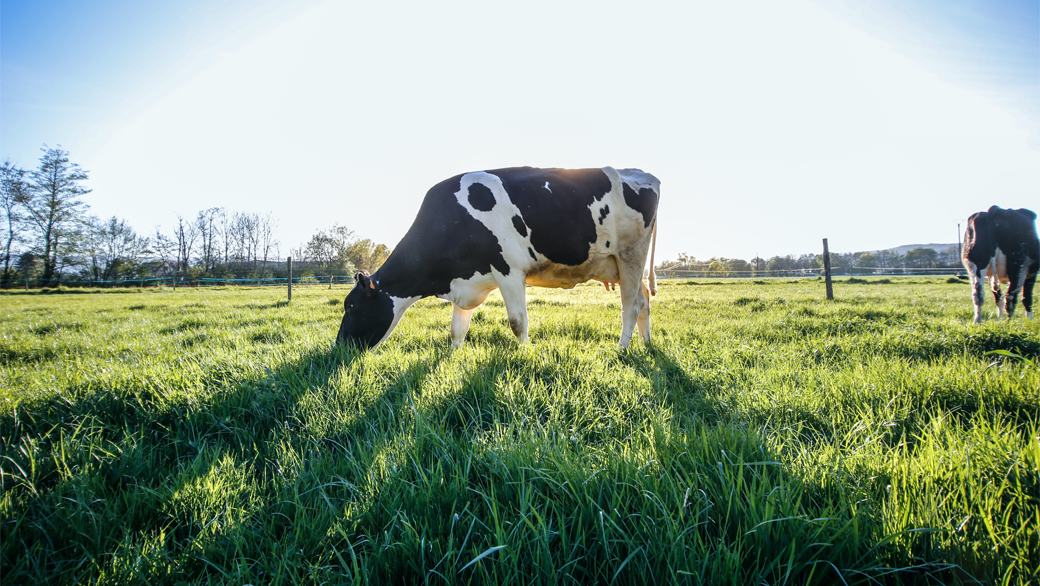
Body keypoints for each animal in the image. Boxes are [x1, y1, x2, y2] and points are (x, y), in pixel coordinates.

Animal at [334, 166, 657, 347]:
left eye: (350, 306)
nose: (339, 347)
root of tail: (641, 173)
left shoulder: (509, 271)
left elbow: (518, 322)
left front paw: (525, 353)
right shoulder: (465, 279)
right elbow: (457, 330)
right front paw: (453, 357)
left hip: (630, 255)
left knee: (630, 306)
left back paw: (622, 349)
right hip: (623, 265)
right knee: (644, 302)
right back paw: (646, 344)